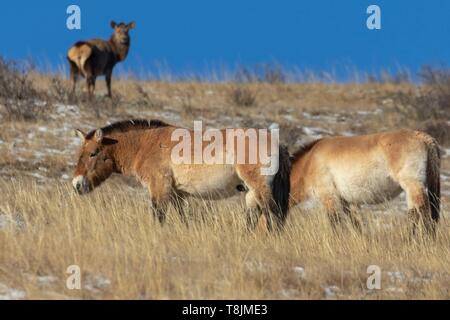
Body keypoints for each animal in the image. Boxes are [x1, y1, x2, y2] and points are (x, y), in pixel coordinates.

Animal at [72, 119, 290, 231]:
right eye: (79, 153)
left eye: (93, 153)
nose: (76, 184)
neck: (144, 144)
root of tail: (275, 141)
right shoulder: (177, 194)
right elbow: (182, 218)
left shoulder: (159, 188)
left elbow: (158, 215)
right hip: (251, 193)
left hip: (260, 188)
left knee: (273, 215)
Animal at [290, 129, 442, 236]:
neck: (309, 162)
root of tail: (422, 137)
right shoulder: (347, 201)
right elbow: (356, 224)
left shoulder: (329, 197)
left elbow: (335, 222)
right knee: (415, 212)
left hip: (412, 185)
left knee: (421, 210)